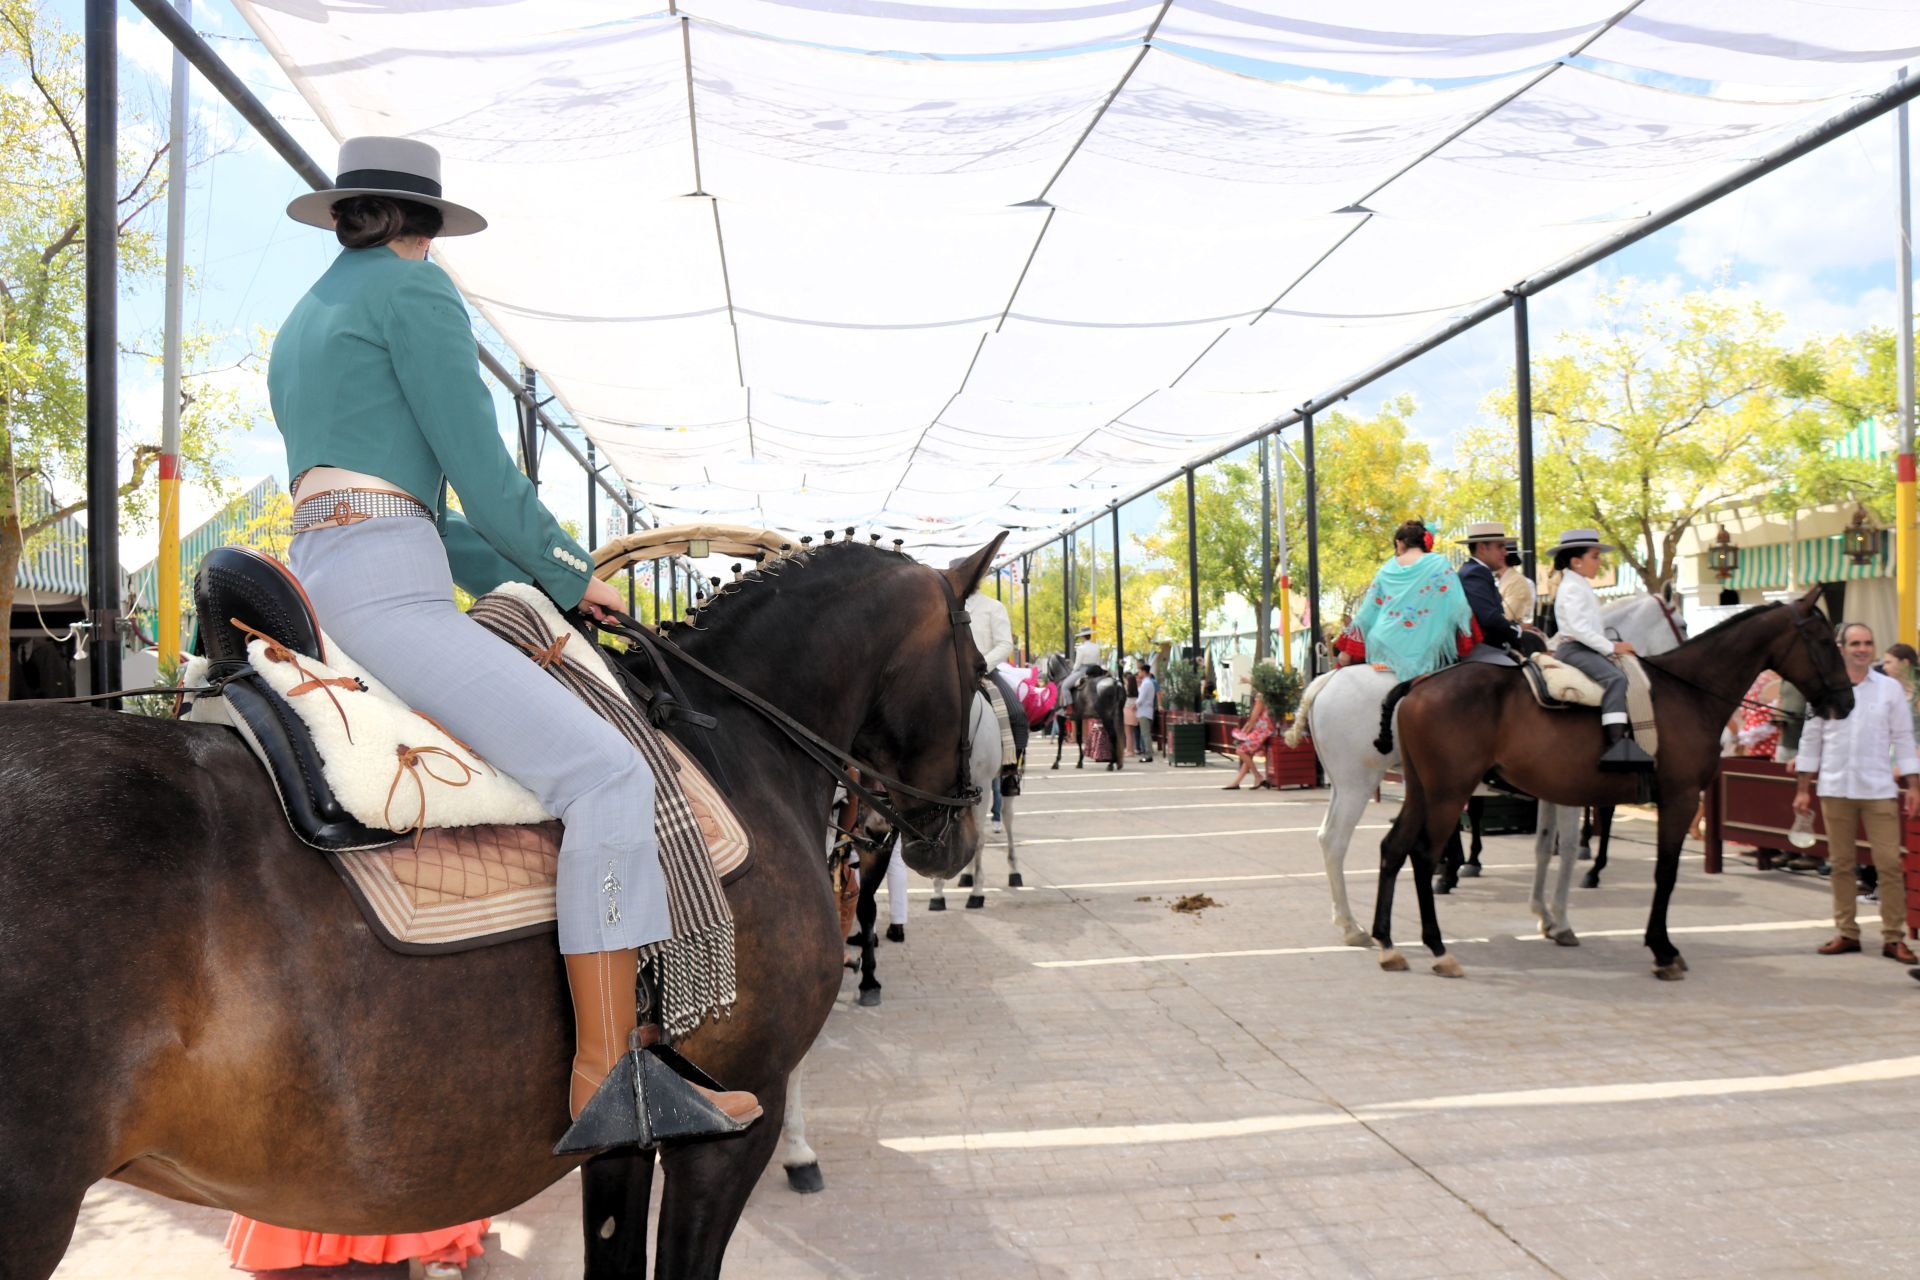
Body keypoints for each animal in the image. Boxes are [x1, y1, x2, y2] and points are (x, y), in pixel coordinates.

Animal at [1282, 594, 1689, 948]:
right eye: (1682, 623)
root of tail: (1327, 680)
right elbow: (1580, 831)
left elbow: (1544, 844)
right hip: (1359, 783)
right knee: (1336, 840)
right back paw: (1354, 927)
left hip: (1344, 784)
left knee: (1327, 838)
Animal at [1374, 591, 1850, 982]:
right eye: (1826, 642)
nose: (1847, 702)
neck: (1686, 693)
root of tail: (1420, 683)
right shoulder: (1678, 798)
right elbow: (1664, 872)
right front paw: (1662, 949)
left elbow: (1562, 848)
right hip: (1447, 793)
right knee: (1423, 855)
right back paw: (1438, 947)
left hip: (1422, 791)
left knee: (1394, 848)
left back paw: (1387, 943)